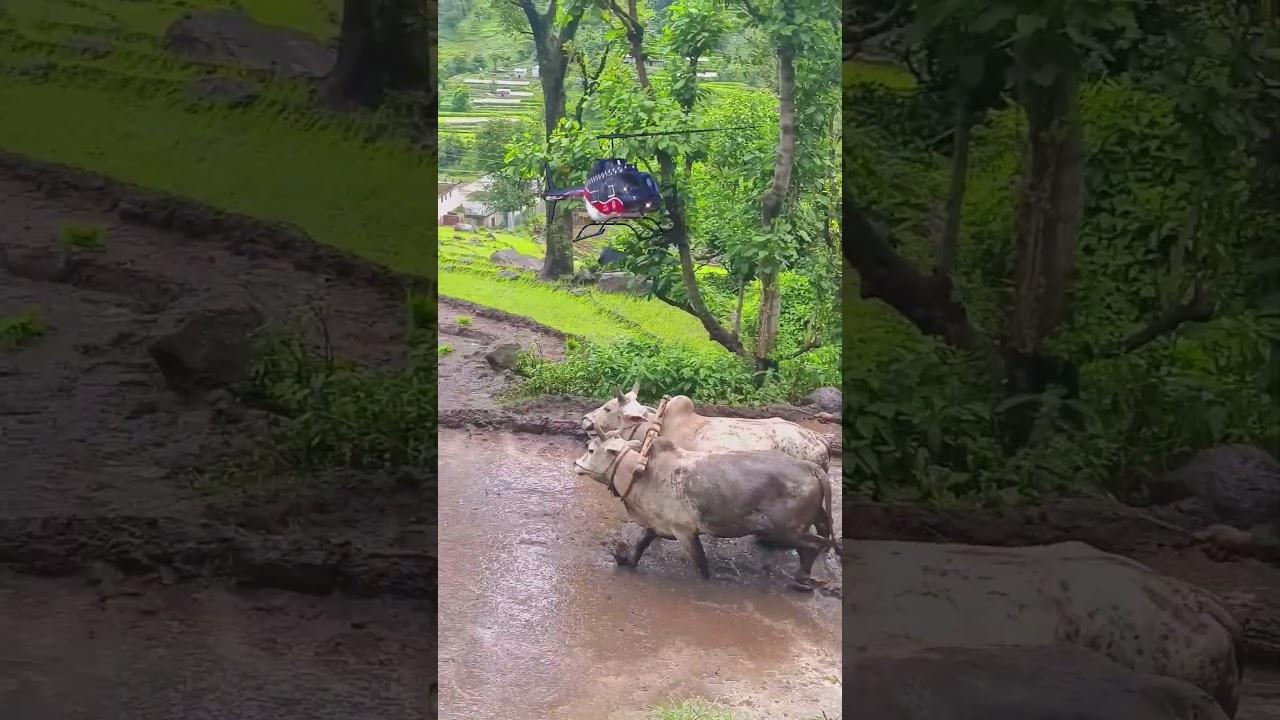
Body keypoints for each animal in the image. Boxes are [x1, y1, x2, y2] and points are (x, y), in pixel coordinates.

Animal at [572, 431, 837, 590]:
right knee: (815, 542)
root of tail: (810, 467)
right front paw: (627, 562)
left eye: (592, 450)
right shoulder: (657, 525)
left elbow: (702, 564)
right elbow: (640, 545)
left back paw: (802, 579)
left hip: (786, 530)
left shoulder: (685, 532)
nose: (576, 464)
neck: (642, 474)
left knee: (815, 544)